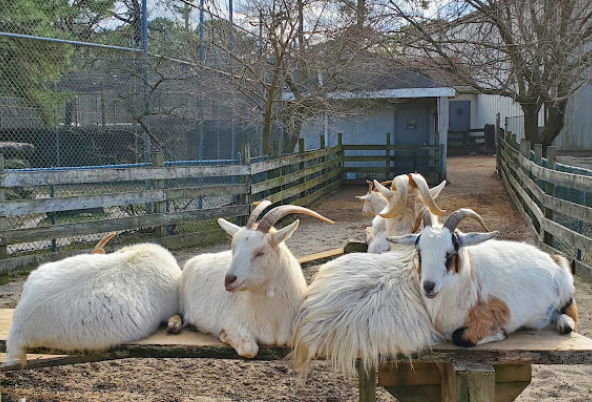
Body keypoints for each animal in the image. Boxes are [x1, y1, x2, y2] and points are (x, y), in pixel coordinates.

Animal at [173, 201, 336, 358]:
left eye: (261, 252)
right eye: (233, 248)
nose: (229, 280)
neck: (274, 319)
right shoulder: (233, 322)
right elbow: (249, 349)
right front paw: (224, 335)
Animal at [388, 209, 580, 348]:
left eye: (451, 252)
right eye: (419, 251)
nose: (429, 286)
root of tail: (556, 260)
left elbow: (459, 337)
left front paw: (500, 334)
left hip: (566, 296)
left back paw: (565, 324)